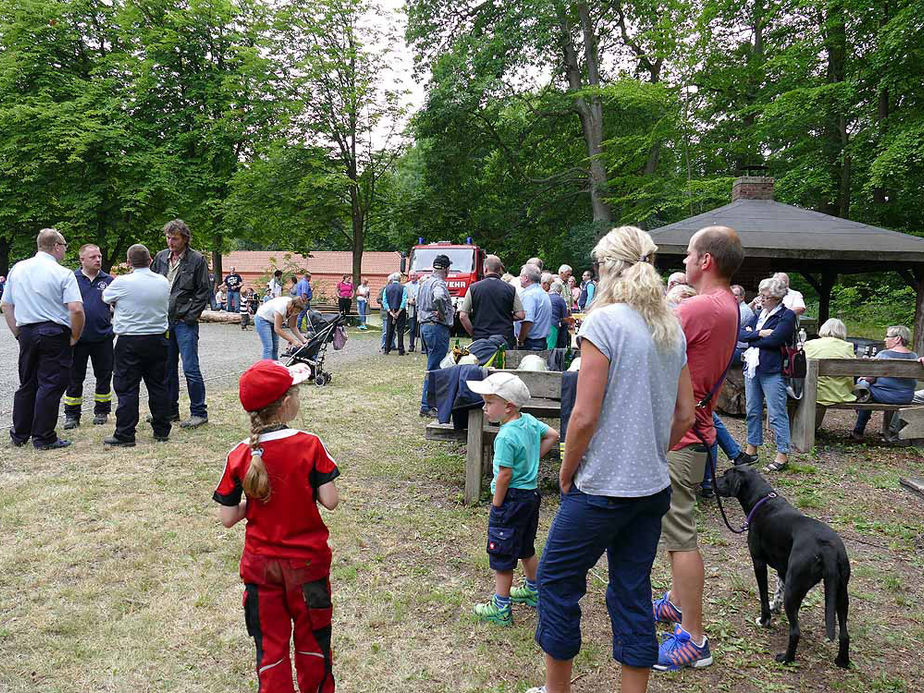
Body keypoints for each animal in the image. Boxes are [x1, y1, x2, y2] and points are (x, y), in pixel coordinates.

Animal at [716, 464, 852, 664]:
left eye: (725, 476)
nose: (712, 482)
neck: (762, 500)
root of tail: (827, 547)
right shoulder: (782, 570)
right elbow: (777, 591)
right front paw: (775, 607)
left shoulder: (758, 562)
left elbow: (764, 596)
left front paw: (765, 620)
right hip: (841, 594)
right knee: (844, 634)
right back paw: (842, 662)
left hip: (796, 588)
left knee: (795, 631)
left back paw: (786, 658)